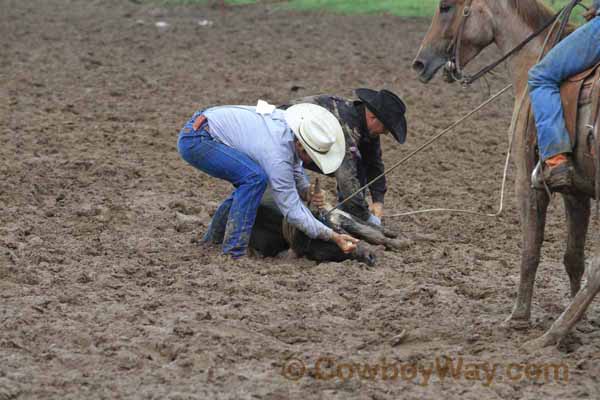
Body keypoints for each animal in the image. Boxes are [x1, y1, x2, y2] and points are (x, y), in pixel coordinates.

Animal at [410, 0, 600, 346]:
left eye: (446, 7)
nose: (419, 63)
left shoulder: (527, 182)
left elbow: (530, 250)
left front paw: (519, 318)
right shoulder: (576, 191)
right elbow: (573, 258)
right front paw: (579, 323)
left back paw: (549, 336)